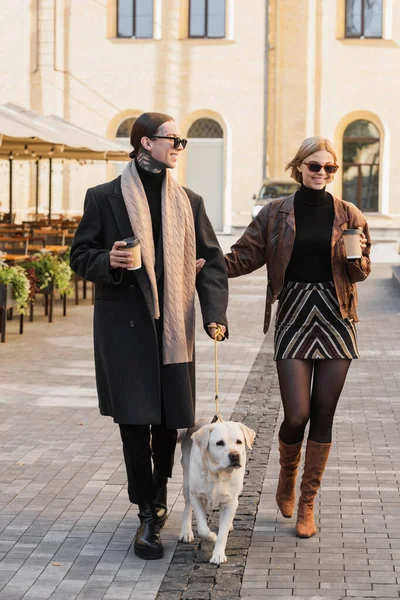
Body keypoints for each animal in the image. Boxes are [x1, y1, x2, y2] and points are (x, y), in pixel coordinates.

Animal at [179, 420, 255, 564]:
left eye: (239, 441)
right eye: (219, 443)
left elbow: (223, 533)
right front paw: (212, 536)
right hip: (187, 482)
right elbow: (203, 529)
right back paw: (186, 531)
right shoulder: (196, 497)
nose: (235, 455)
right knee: (187, 507)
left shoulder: (230, 502)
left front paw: (218, 554)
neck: (218, 473)